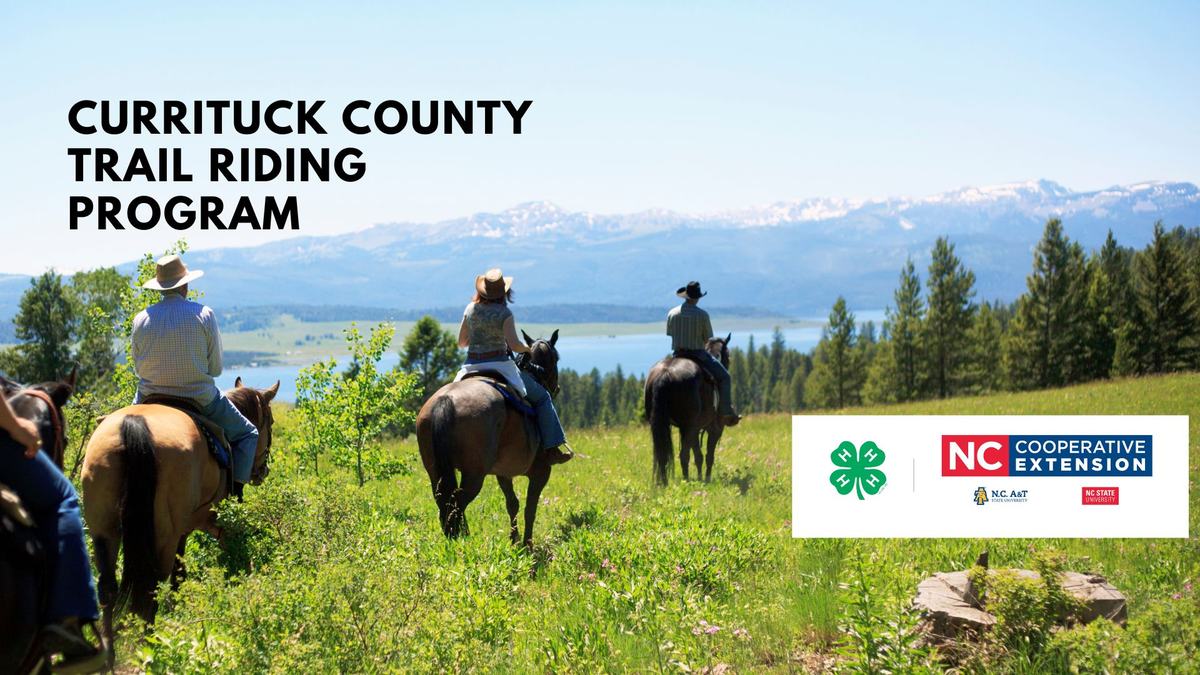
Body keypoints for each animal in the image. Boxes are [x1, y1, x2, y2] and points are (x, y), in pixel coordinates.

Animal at [79, 377, 279, 647]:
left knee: (108, 587)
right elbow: (181, 572)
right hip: (164, 534)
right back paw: (149, 643)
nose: (263, 471)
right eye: (271, 422)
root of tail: (133, 426)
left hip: (103, 531)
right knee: (151, 584)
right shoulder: (192, 525)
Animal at [416, 330, 560, 547]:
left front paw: (514, 540)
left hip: (435, 471)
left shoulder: (503, 473)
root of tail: (445, 400)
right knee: (456, 505)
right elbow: (530, 508)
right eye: (556, 359)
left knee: (445, 504)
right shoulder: (541, 471)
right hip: (474, 474)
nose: (556, 389)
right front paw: (527, 544)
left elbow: (512, 504)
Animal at [644, 334, 732, 485]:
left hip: (664, 425)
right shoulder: (714, 428)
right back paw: (686, 480)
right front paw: (706, 478)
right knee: (684, 455)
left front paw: (701, 478)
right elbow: (708, 455)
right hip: (689, 426)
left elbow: (698, 455)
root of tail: (665, 374)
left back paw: (666, 482)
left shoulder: (693, 429)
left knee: (663, 454)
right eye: (728, 355)